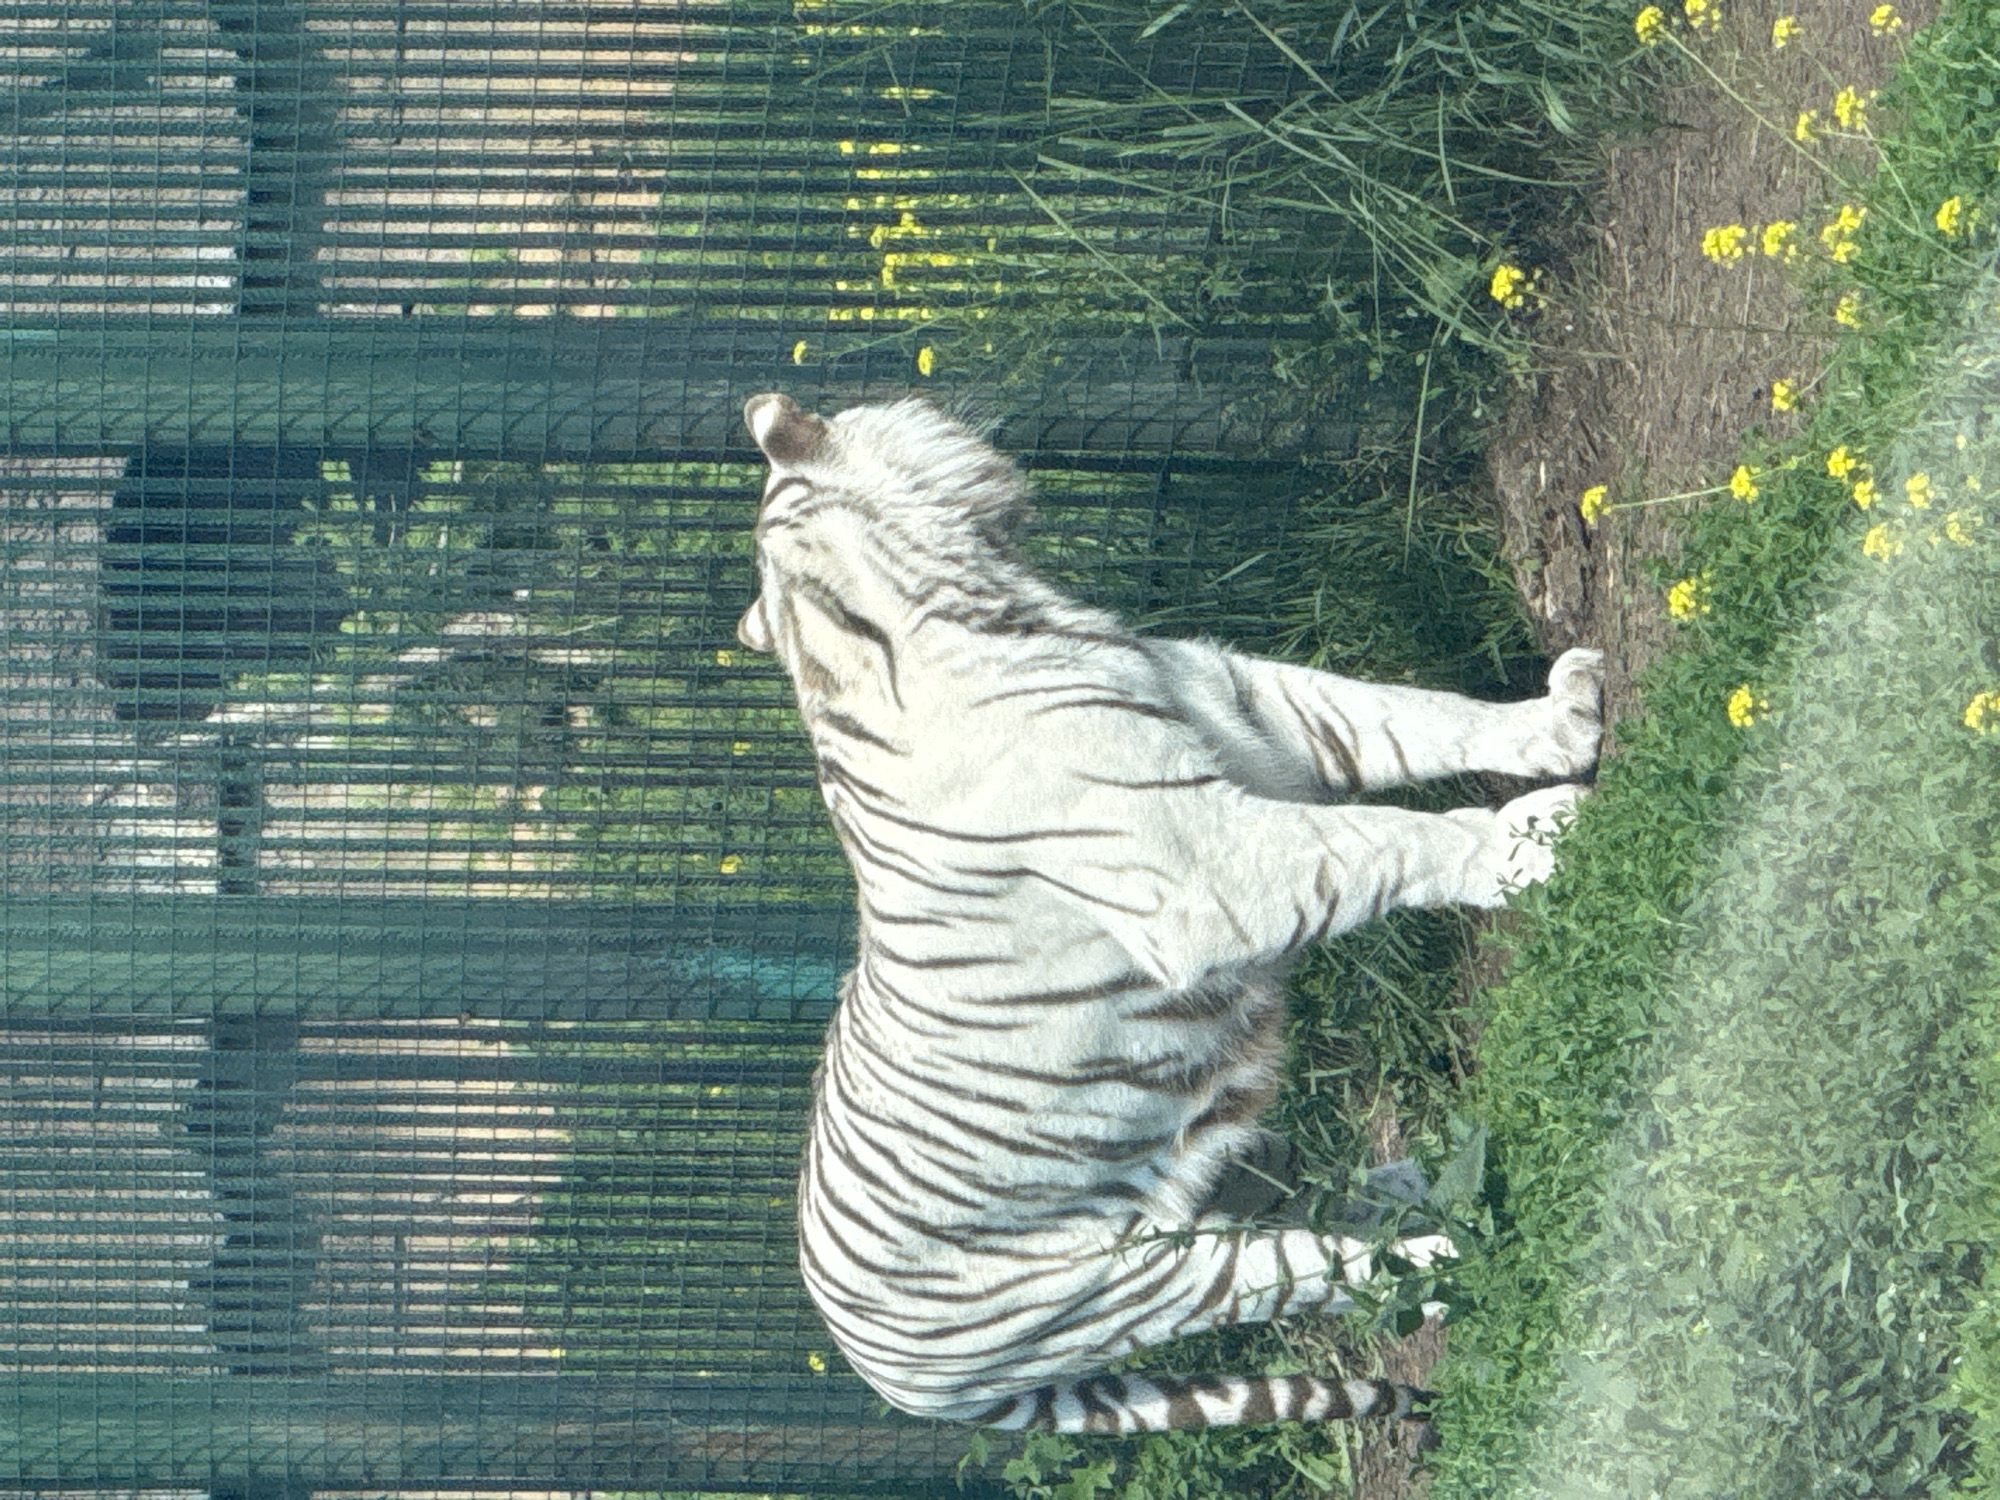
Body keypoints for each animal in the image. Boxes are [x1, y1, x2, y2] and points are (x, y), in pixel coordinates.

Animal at [735, 391, 1601, 1434]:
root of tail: (884, 1378)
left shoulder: (1249, 710)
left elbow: (1412, 714)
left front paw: (1564, 716)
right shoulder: (1204, 862)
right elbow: (1387, 839)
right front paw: (1533, 840)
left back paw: (1417, 1184)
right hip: (1140, 1279)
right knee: (1324, 1272)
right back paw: (1456, 1249)